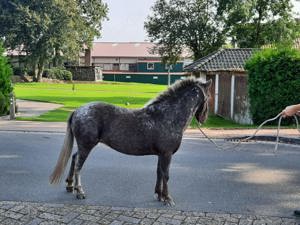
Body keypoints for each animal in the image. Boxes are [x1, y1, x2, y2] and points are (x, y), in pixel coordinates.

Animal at [49, 77, 211, 206]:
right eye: (208, 97)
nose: (204, 119)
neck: (168, 115)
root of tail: (77, 111)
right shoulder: (167, 154)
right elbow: (166, 175)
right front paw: (167, 198)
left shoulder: (161, 155)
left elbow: (159, 173)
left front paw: (159, 195)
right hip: (87, 146)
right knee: (78, 165)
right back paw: (80, 192)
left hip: (83, 146)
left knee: (74, 158)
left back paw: (70, 186)